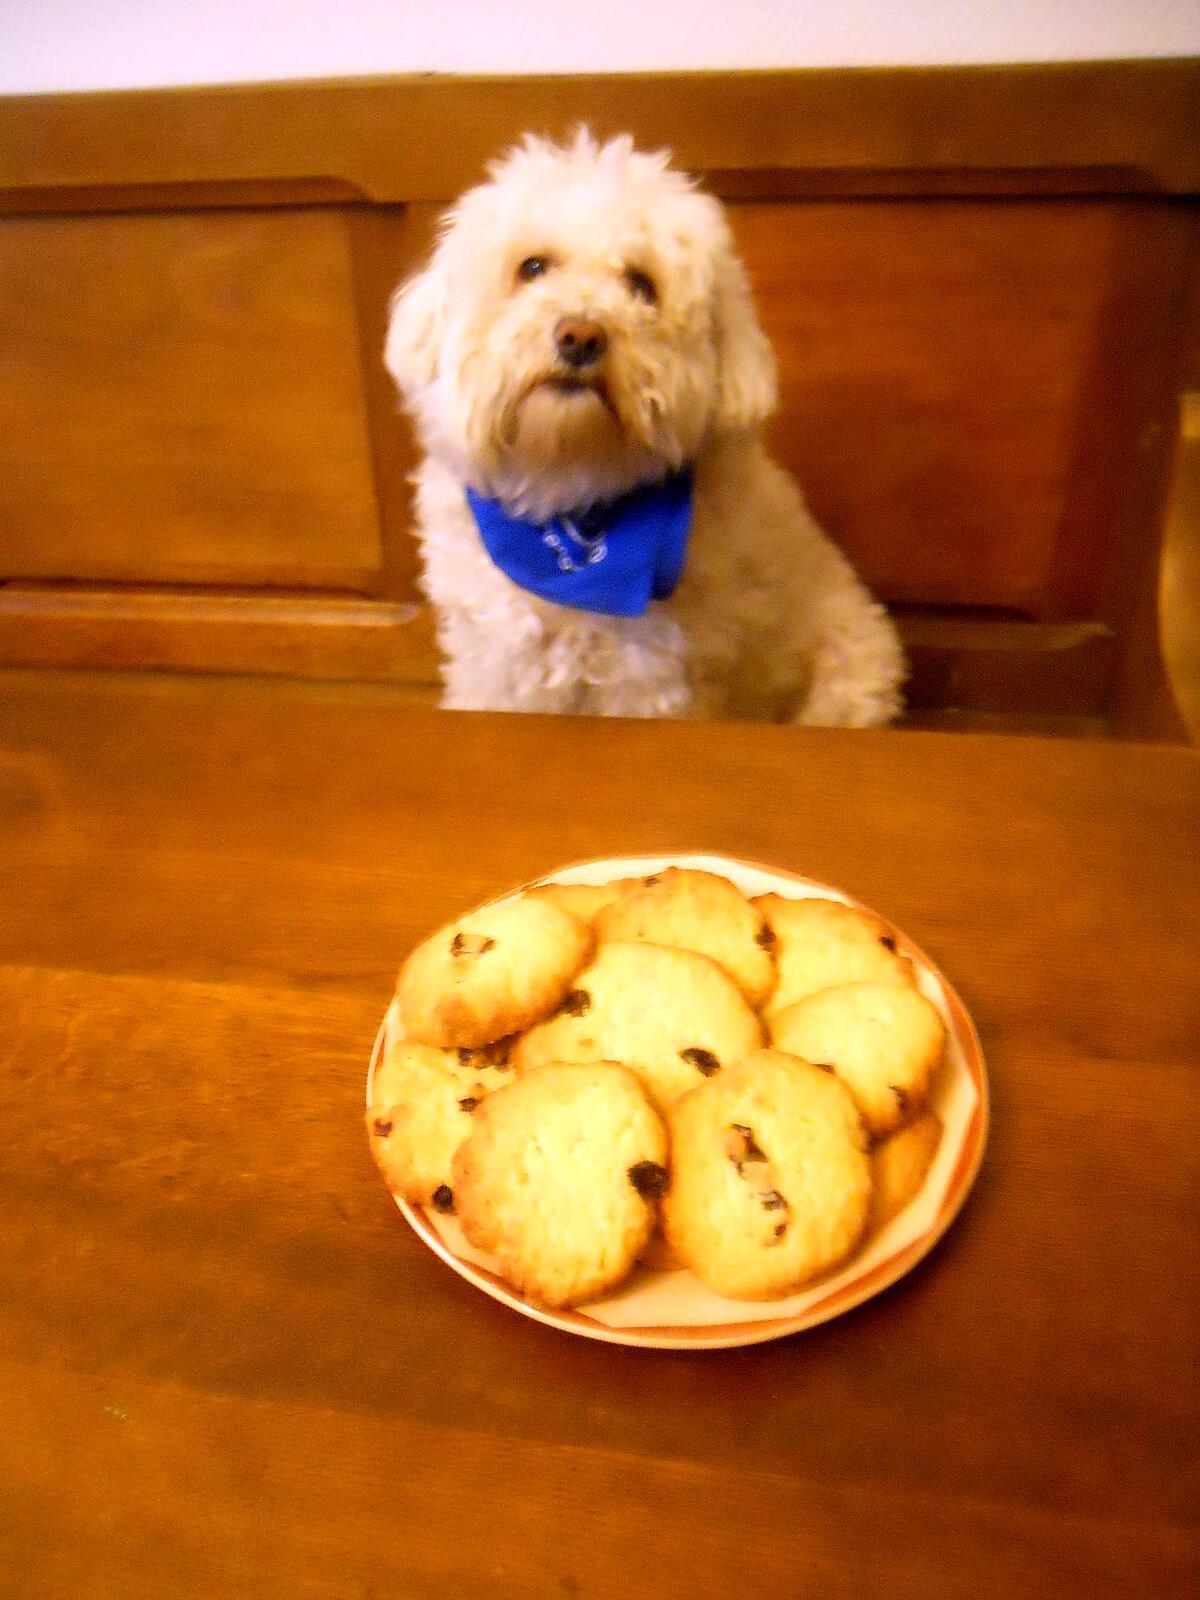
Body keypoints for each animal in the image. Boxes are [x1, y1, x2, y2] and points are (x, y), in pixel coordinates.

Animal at [390, 131, 908, 726]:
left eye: (641, 285)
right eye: (533, 267)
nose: (580, 335)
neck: (570, 496)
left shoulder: (650, 673)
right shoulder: (500, 658)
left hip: (848, 673)